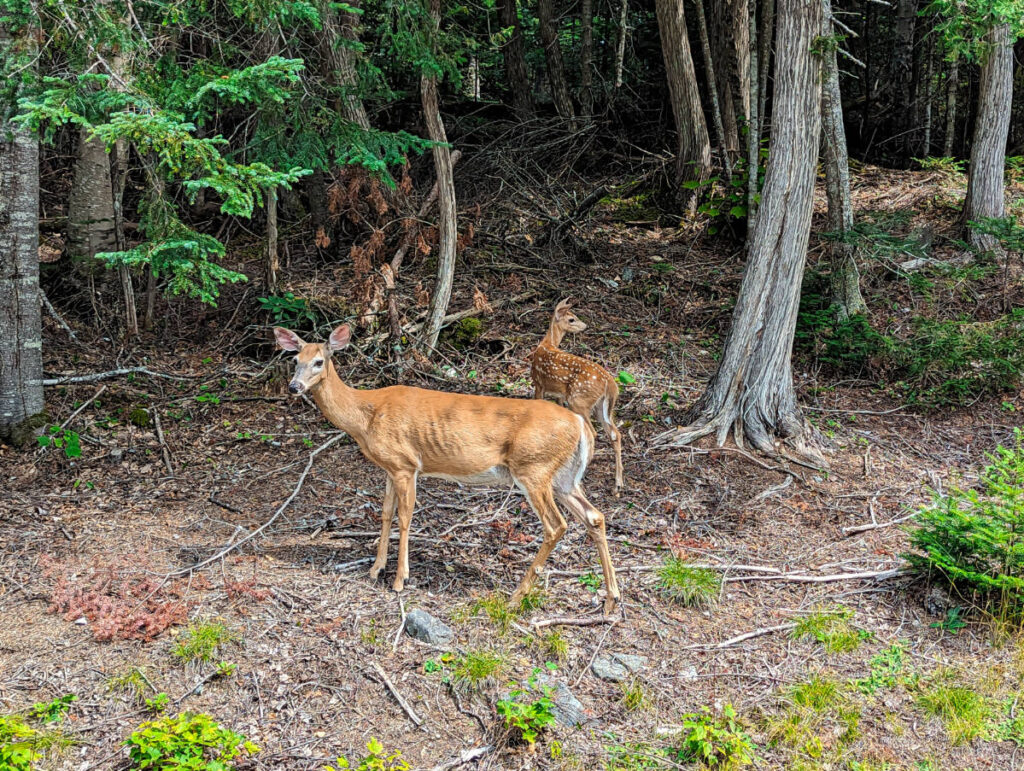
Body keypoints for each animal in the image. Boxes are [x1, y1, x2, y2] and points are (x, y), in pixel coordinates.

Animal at [274, 323, 621, 615]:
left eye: (319, 361)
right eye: (295, 359)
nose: (294, 386)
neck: (365, 416)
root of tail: (579, 425)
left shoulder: (406, 464)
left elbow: (405, 517)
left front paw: (400, 580)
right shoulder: (389, 467)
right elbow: (384, 514)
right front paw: (375, 570)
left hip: (533, 468)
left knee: (556, 525)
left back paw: (516, 596)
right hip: (564, 477)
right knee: (595, 516)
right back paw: (612, 598)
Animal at [531, 299, 624, 496]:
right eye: (572, 319)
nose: (585, 325)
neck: (547, 343)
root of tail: (610, 384)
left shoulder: (538, 383)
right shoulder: (559, 394)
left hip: (579, 400)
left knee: (594, 433)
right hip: (601, 407)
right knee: (615, 433)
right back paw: (618, 484)